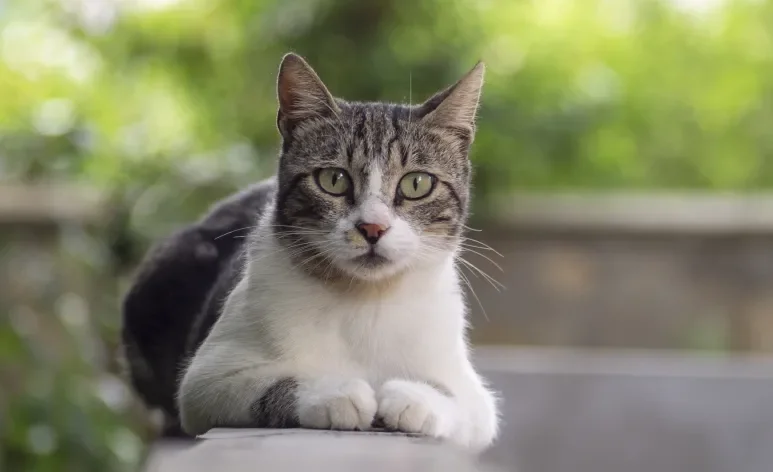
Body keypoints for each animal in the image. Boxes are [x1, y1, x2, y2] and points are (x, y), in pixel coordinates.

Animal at [118, 51, 498, 450]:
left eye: (417, 183)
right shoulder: (206, 379)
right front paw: (337, 393)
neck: (365, 301)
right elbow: (268, 384)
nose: (372, 228)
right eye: (333, 179)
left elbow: (463, 402)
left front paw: (413, 399)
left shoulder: (472, 392)